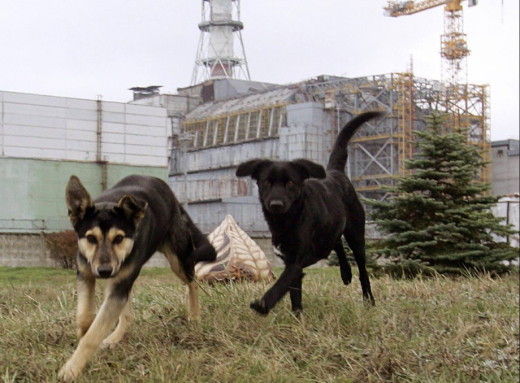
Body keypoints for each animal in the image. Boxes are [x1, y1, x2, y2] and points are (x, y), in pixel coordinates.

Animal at [59, 175, 215, 380]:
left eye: (118, 238)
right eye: (91, 238)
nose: (104, 271)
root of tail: (173, 198)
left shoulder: (118, 284)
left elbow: (93, 335)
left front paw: (72, 368)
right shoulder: (86, 274)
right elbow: (85, 316)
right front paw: (84, 333)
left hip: (178, 261)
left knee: (193, 282)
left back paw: (195, 315)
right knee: (127, 315)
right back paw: (114, 337)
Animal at [236, 110, 382, 316]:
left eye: (290, 183)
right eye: (266, 182)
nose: (276, 204)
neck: (288, 220)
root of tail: (335, 172)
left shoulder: (295, 262)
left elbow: (281, 283)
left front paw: (263, 304)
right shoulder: (290, 260)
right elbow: (294, 293)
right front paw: (297, 316)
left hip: (356, 234)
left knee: (362, 269)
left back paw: (368, 299)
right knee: (336, 243)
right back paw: (345, 273)